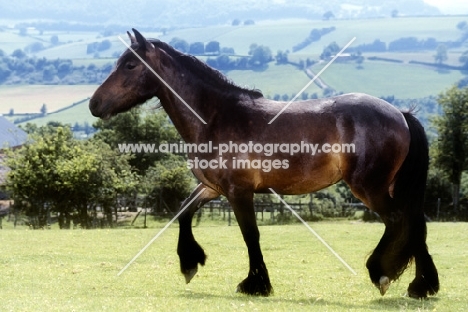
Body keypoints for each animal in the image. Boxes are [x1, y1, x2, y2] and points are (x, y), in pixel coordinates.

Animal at [88, 29, 438, 300]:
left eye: (130, 64)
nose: (94, 104)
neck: (215, 116)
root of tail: (400, 115)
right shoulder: (213, 187)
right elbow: (184, 212)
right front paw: (190, 264)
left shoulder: (238, 192)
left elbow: (250, 235)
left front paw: (256, 284)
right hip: (390, 186)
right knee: (415, 223)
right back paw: (421, 287)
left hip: (370, 188)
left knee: (398, 220)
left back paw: (382, 273)